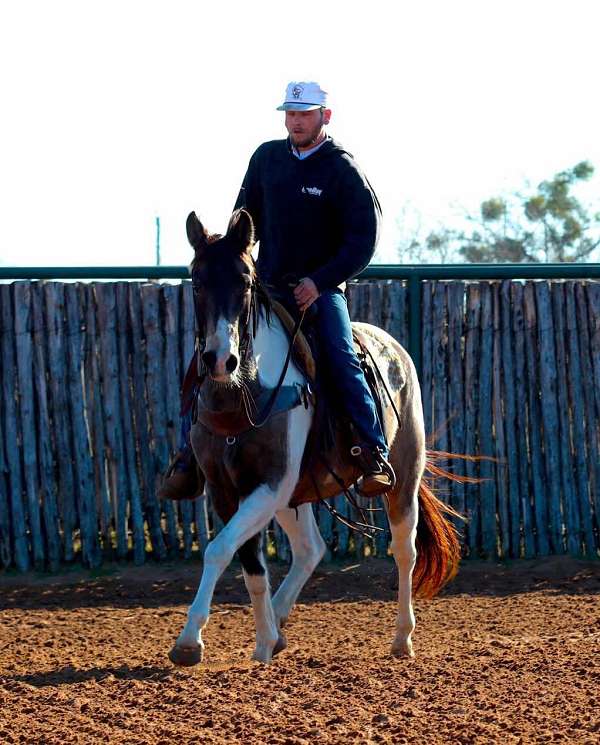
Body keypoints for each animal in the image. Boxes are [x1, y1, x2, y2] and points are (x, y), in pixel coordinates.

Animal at [168, 208, 460, 664]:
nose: (220, 359)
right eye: (197, 280)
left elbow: (219, 549)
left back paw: (402, 638)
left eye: (245, 281)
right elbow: (249, 565)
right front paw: (262, 642)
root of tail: (393, 347)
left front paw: (189, 641)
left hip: (403, 475)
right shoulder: (228, 489)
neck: (243, 392)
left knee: (404, 550)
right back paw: (279, 627)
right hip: (295, 493)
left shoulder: (269, 484)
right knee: (311, 549)